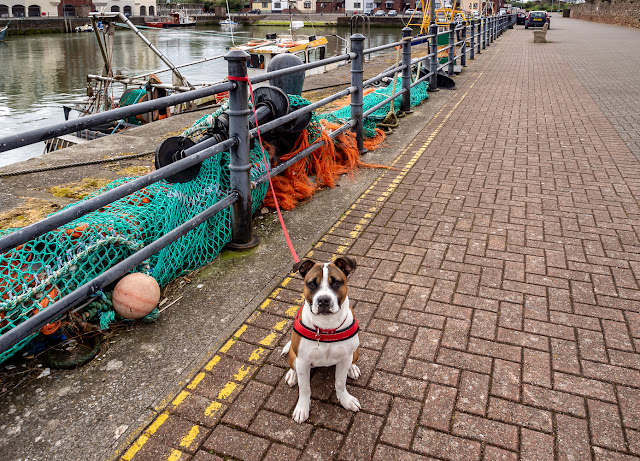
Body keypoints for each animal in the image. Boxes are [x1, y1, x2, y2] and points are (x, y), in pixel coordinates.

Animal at [282, 256, 360, 422]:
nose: (323, 300)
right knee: (293, 364)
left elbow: (340, 383)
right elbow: (304, 388)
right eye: (311, 283)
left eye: (336, 282)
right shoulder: (303, 361)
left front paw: (346, 400)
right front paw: (302, 408)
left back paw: (352, 368)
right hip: (294, 355)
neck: (326, 326)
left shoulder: (345, 358)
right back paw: (292, 375)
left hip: (355, 352)